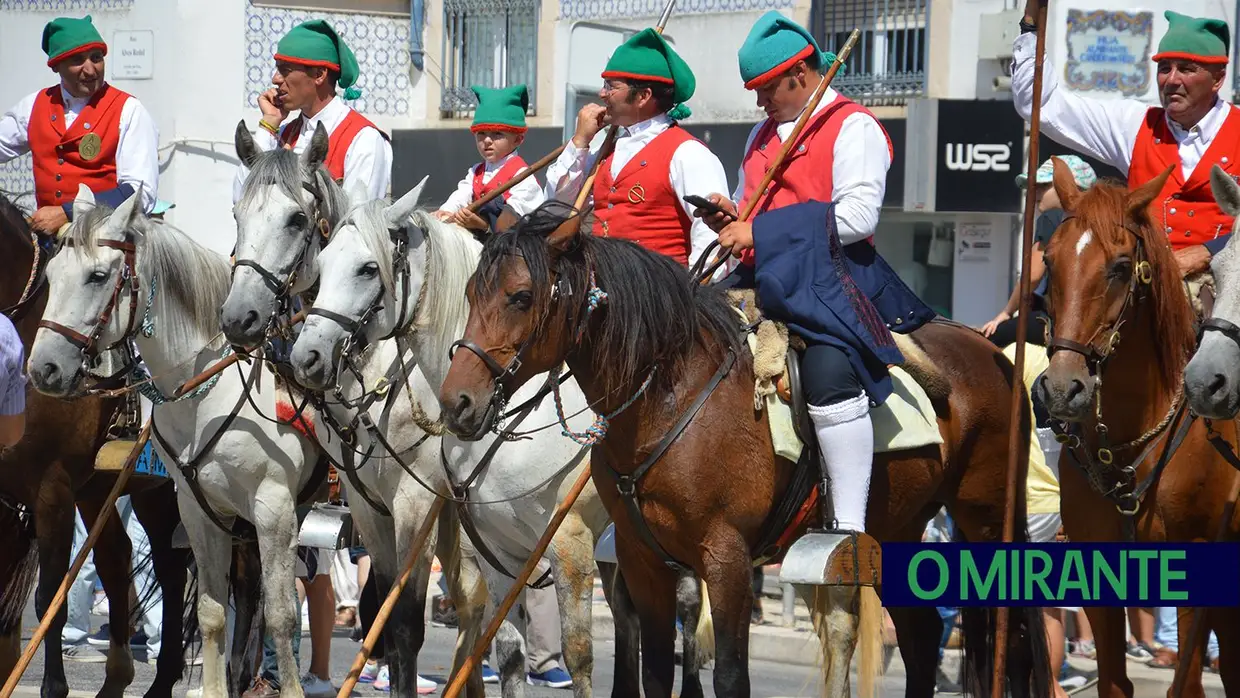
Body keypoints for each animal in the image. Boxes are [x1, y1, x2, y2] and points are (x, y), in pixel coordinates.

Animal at [29, 187, 322, 698]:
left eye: (98, 276)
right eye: (50, 276)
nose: (43, 369)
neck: (207, 391)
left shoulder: (274, 509)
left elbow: (284, 616)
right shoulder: (198, 507)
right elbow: (211, 612)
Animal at [220, 122, 481, 694]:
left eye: (296, 219)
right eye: (237, 214)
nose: (238, 318)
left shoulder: (415, 504)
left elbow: (403, 624)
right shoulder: (366, 506)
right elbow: (382, 613)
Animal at [431, 204, 1051, 698]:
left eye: (520, 296)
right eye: (471, 294)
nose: (458, 402)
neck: (667, 396)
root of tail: (993, 352)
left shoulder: (725, 560)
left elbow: (730, 675)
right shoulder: (643, 558)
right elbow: (655, 670)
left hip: (985, 520)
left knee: (1011, 636)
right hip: (901, 528)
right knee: (921, 638)